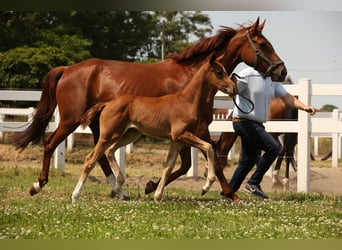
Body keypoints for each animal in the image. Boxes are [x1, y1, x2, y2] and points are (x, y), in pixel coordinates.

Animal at [71, 52, 238, 203]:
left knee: (110, 151)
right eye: (219, 72)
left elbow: (168, 166)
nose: (234, 89)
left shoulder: (177, 141)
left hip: (130, 134)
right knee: (91, 159)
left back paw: (117, 188)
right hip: (108, 134)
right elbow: (209, 147)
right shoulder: (181, 135)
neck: (187, 101)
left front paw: (157, 196)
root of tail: (107, 103)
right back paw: (75, 196)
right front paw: (205, 187)